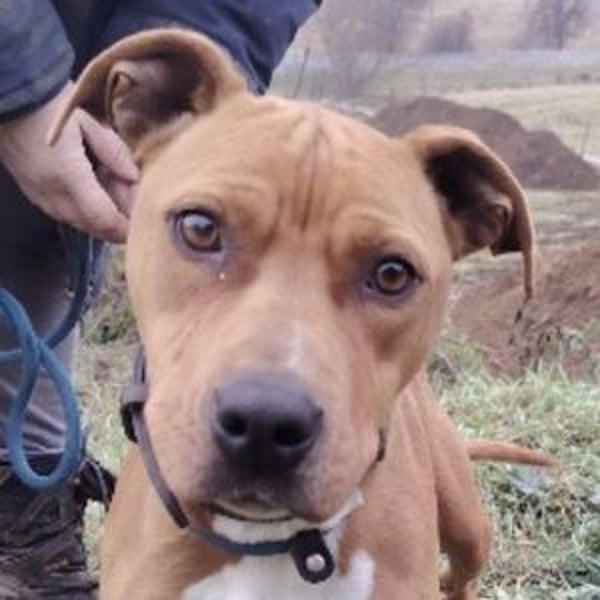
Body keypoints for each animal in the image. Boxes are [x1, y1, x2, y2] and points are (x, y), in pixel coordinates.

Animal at [50, 30, 550, 600]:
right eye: (200, 227)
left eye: (392, 274)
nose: (264, 422)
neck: (272, 541)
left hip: (468, 524)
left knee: (463, 569)